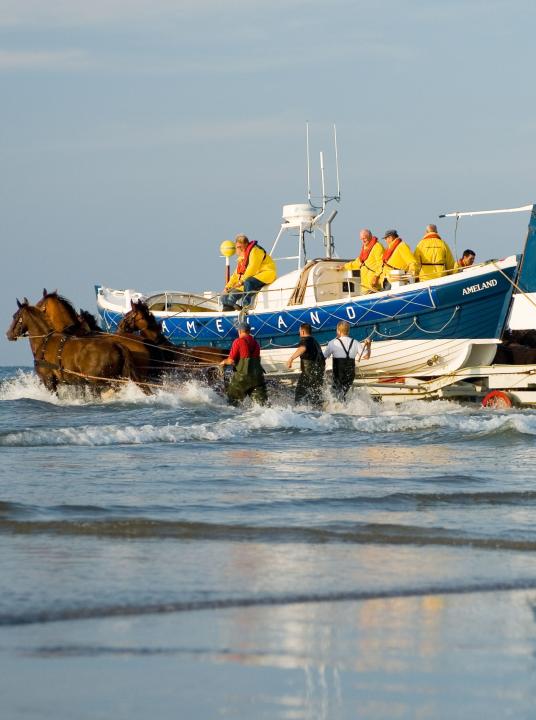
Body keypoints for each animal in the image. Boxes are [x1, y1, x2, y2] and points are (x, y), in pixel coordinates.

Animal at [5, 300, 142, 396]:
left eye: (15, 316)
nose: (8, 334)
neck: (44, 342)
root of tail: (118, 345)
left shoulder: (48, 380)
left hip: (98, 381)